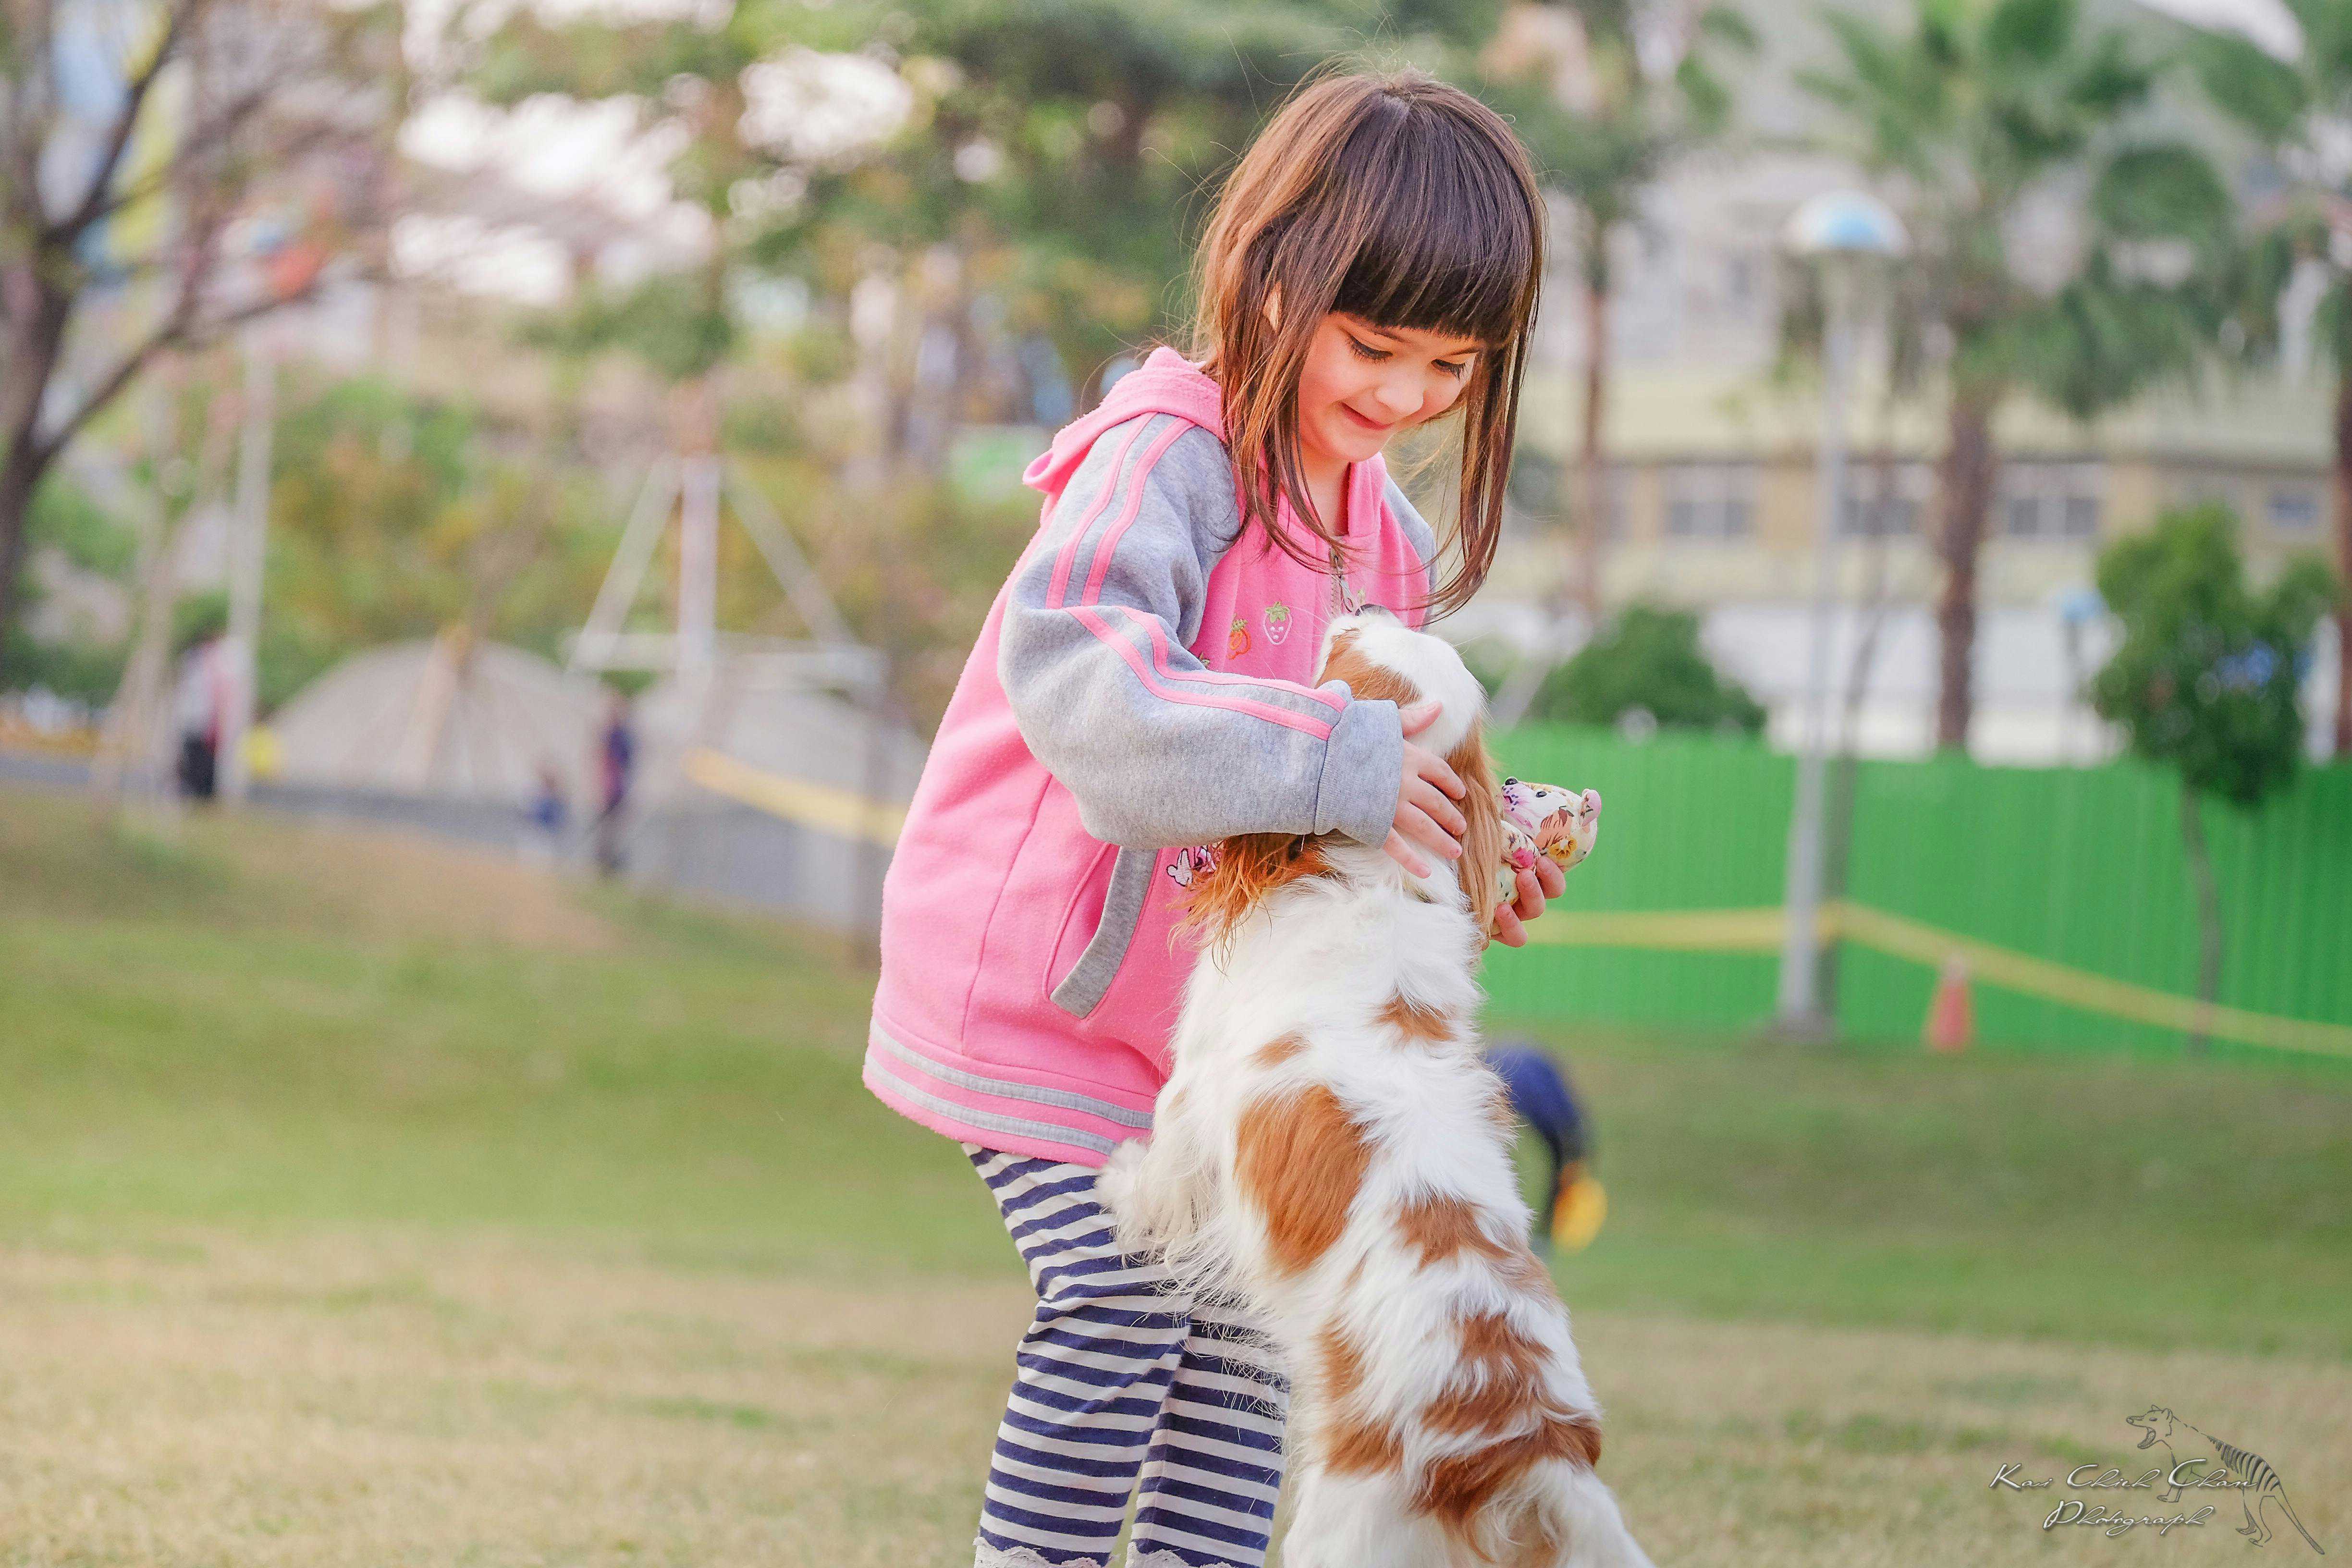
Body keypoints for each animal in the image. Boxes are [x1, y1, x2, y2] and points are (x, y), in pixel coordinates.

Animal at [1096, 611, 1637, 1568]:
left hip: (1341, 1523)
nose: (1369, 609)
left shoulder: (1194, 1092)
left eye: (1345, 657)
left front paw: (1120, 1184)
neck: (1373, 876)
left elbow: (1160, 1169)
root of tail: (1531, 1444)